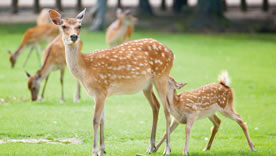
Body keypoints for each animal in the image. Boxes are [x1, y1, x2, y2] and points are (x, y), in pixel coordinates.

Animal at [49, 8, 174, 156]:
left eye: (79, 26)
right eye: (63, 26)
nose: (74, 37)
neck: (85, 68)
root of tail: (171, 53)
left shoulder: (100, 90)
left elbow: (95, 120)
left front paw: (94, 151)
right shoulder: (101, 93)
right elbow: (102, 120)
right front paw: (102, 150)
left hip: (161, 75)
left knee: (167, 109)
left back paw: (167, 149)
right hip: (147, 85)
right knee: (156, 106)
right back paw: (151, 147)